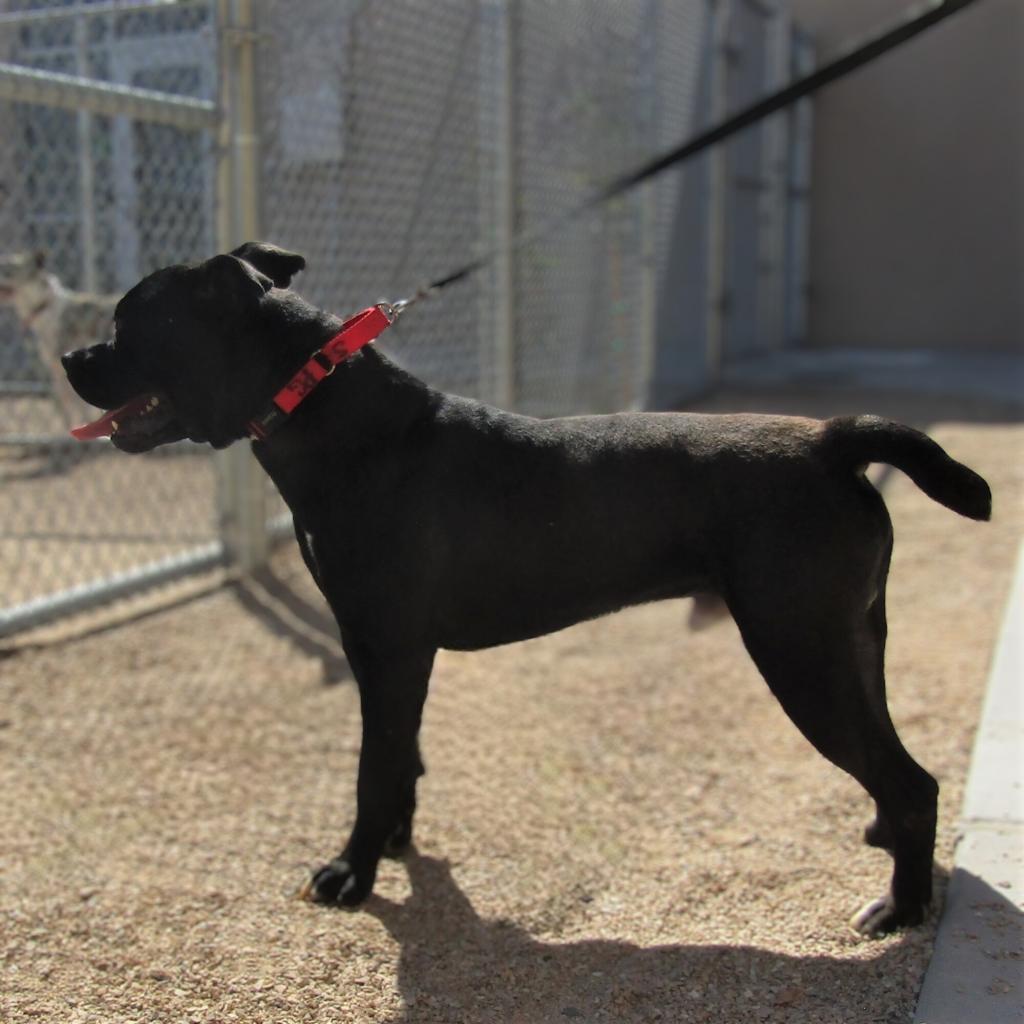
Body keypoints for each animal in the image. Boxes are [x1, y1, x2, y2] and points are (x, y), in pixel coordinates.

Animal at [64, 245, 991, 937]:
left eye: (129, 324)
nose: (71, 358)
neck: (324, 409)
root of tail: (835, 439)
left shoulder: (386, 647)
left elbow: (373, 767)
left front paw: (352, 872)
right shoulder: (395, 657)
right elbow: (402, 758)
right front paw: (395, 846)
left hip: (800, 653)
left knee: (910, 781)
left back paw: (902, 910)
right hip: (851, 645)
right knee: (896, 768)